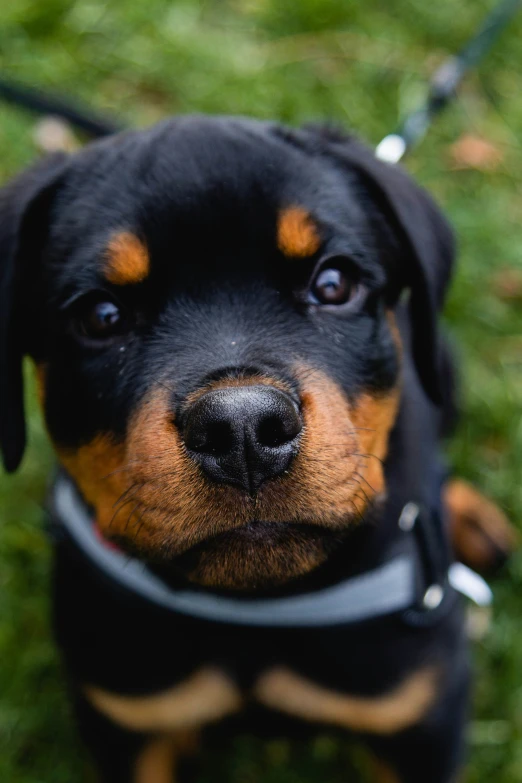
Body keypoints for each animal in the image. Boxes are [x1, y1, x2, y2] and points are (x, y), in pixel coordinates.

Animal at [0, 118, 512, 783]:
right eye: (101, 315)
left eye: (334, 283)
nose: (241, 429)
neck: (259, 605)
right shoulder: (128, 717)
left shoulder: (420, 713)